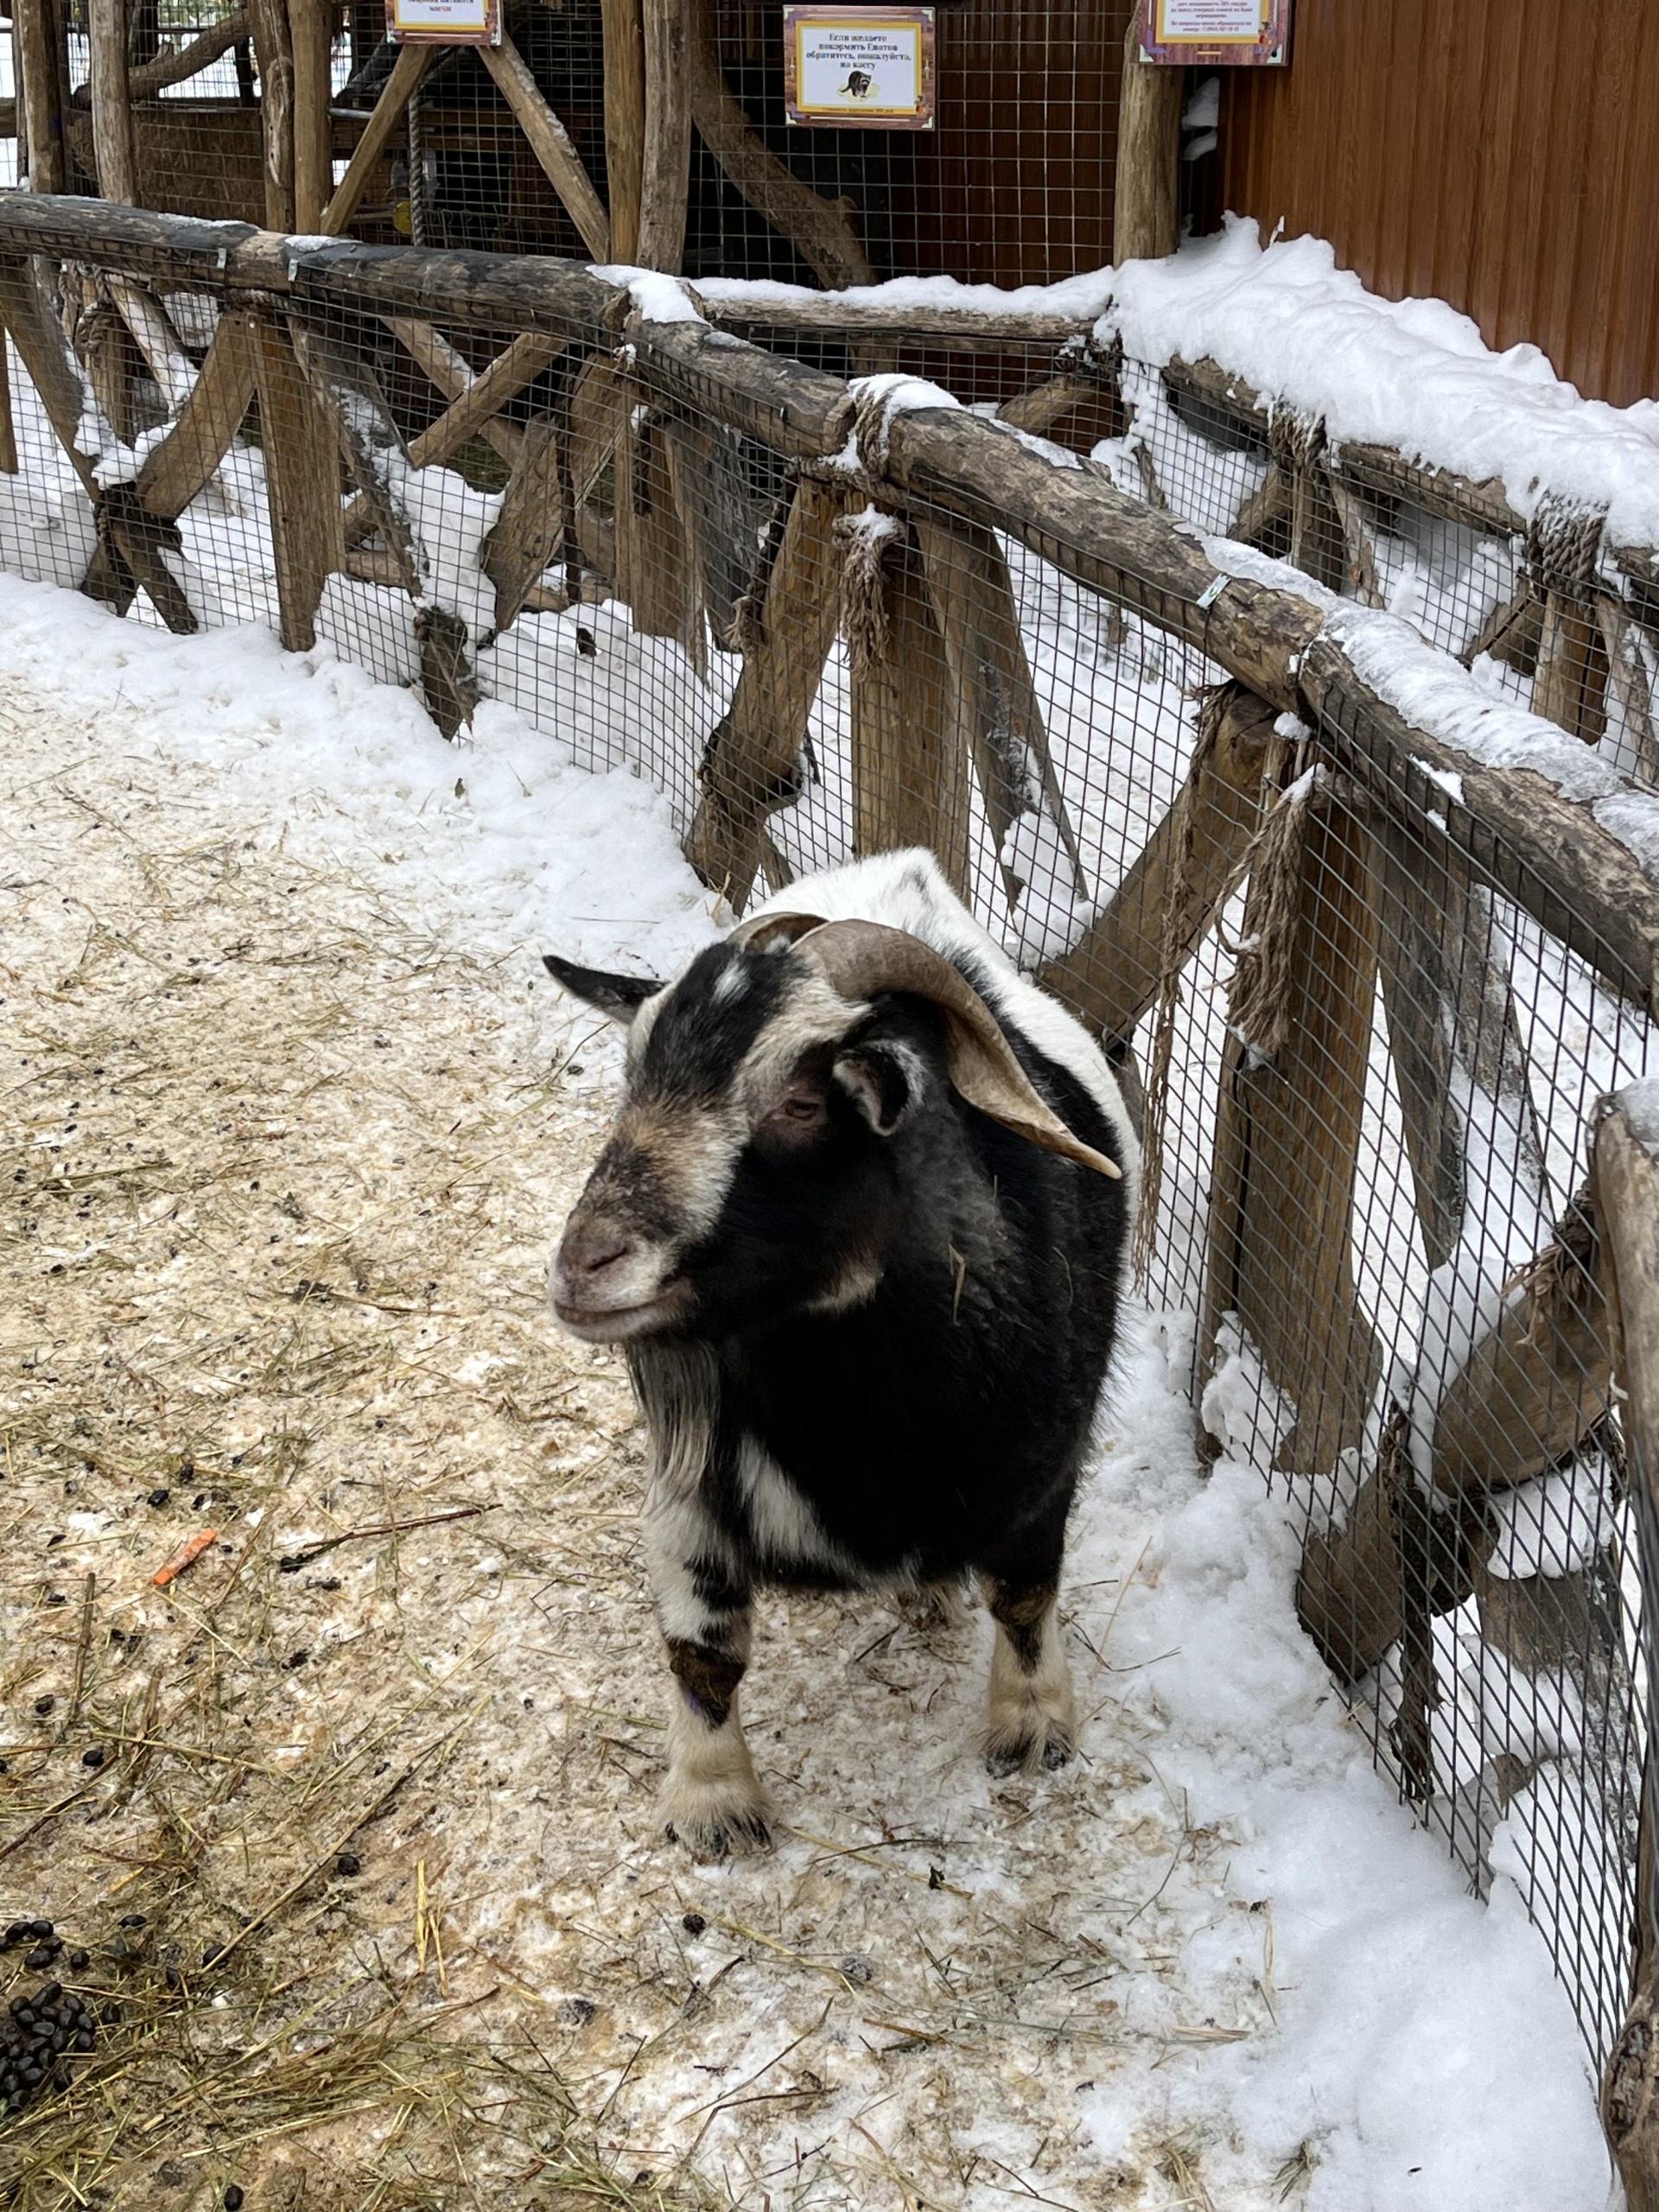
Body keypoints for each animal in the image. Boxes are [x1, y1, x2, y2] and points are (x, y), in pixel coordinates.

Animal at [546, 854, 1141, 1858]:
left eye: (799, 1100)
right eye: (633, 1078)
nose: (585, 1265)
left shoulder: (1043, 1463)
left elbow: (1024, 1596)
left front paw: (1032, 1729)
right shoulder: (690, 1488)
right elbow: (702, 1649)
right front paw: (714, 1805)